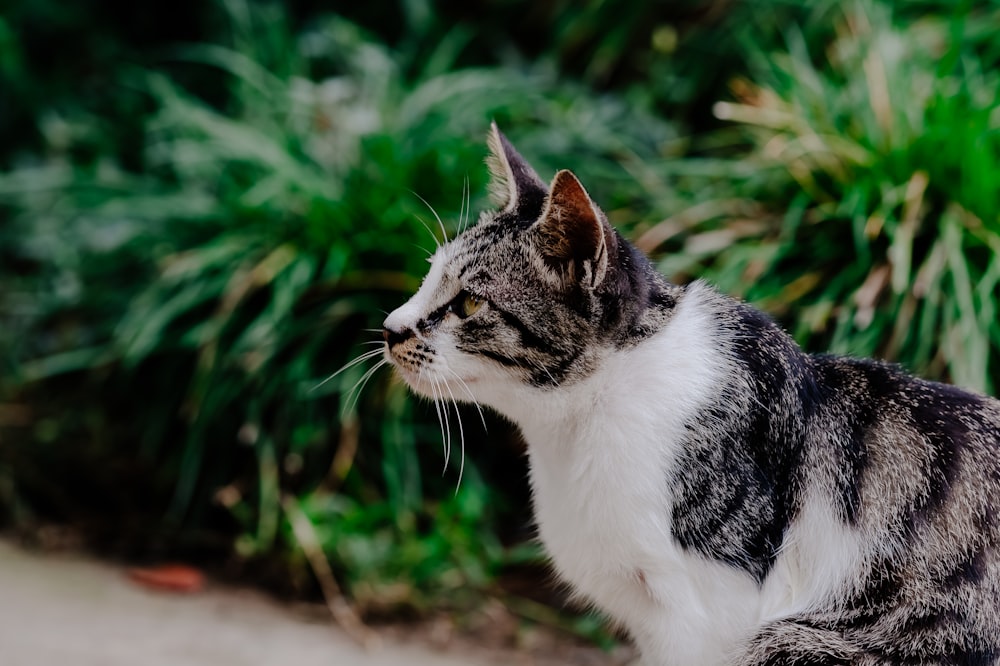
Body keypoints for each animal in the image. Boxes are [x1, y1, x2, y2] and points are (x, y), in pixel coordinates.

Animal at [380, 123, 1000, 660]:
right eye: (427, 277)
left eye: (468, 303)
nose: (390, 328)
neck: (583, 419)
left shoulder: (706, 613)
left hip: (793, 641)